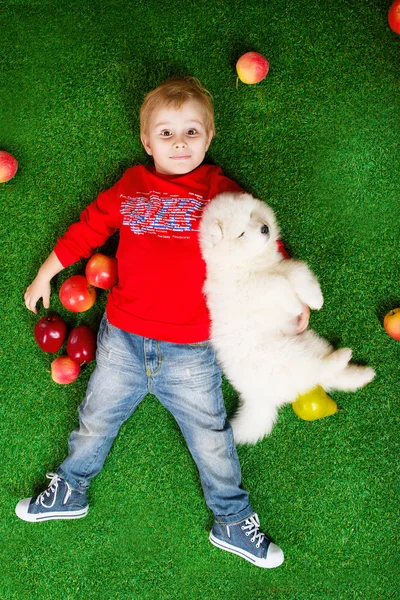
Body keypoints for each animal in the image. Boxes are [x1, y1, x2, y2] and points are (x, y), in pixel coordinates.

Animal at [200, 193, 376, 446]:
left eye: (252, 215)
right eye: (241, 233)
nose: (265, 228)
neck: (252, 264)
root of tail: (258, 397)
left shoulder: (284, 265)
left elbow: (298, 273)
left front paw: (315, 299)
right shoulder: (252, 287)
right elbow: (280, 284)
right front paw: (295, 304)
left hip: (310, 343)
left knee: (324, 376)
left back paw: (362, 375)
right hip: (286, 357)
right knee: (318, 371)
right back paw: (345, 357)